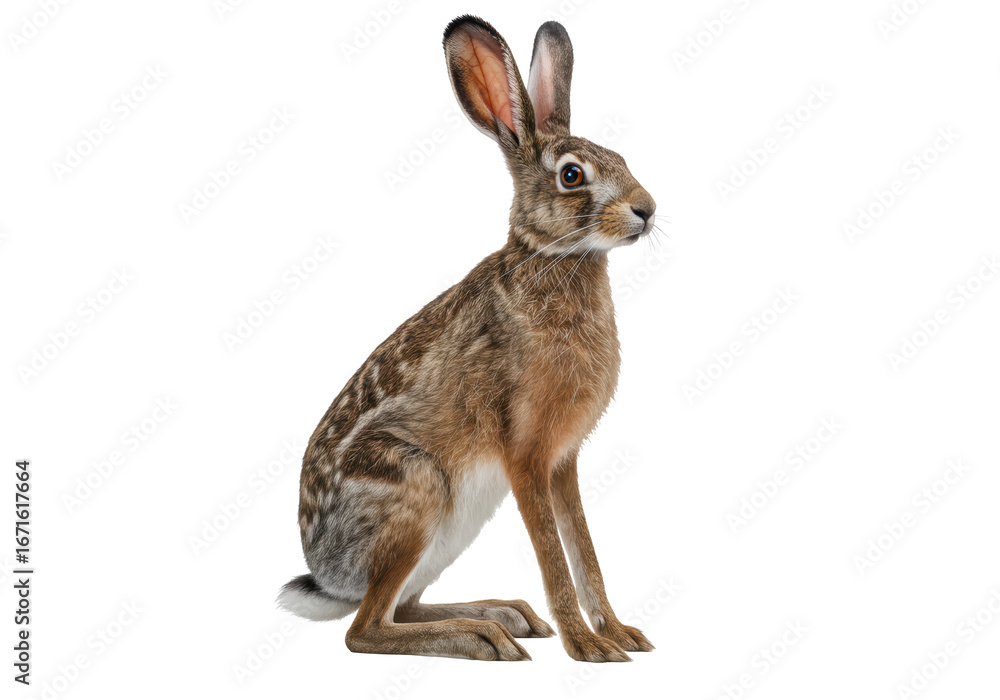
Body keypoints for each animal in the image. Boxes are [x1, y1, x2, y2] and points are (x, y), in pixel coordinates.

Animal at [278, 15, 658, 662]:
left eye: (621, 157)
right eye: (572, 175)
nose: (647, 209)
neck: (551, 257)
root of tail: (326, 575)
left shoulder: (562, 462)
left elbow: (585, 552)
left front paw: (620, 635)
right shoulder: (526, 455)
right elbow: (555, 557)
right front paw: (589, 648)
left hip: (448, 530)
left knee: (401, 607)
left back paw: (505, 615)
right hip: (416, 491)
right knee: (365, 629)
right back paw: (484, 637)